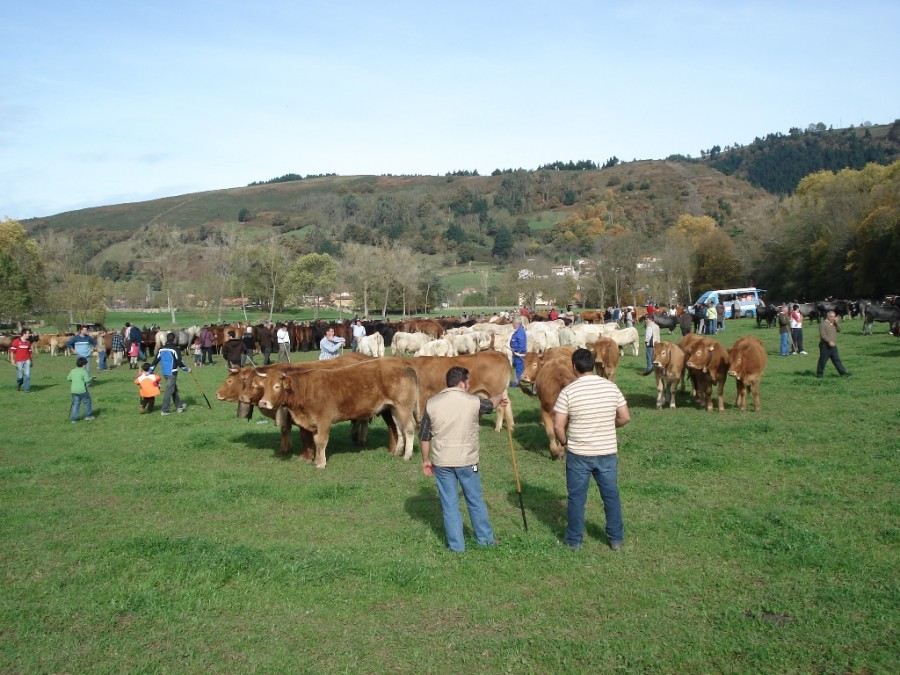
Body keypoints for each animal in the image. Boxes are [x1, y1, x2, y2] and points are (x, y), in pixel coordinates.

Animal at [256, 360, 418, 470]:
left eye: (277, 386)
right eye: (264, 387)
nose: (263, 403)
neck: (305, 390)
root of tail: (405, 365)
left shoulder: (323, 420)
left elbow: (321, 441)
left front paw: (321, 463)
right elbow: (316, 441)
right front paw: (318, 460)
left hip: (404, 407)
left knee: (409, 429)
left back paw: (407, 455)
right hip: (394, 409)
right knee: (400, 429)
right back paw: (398, 451)